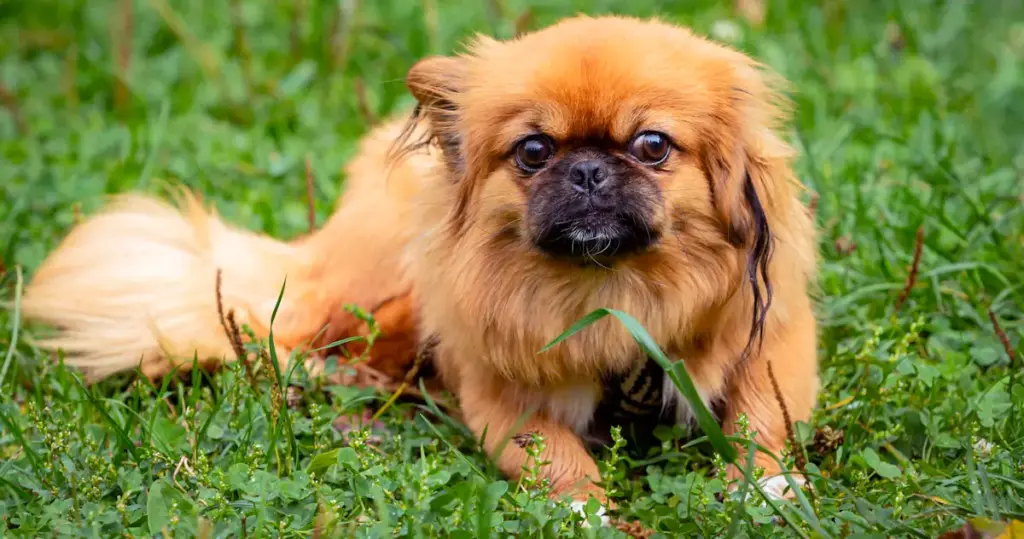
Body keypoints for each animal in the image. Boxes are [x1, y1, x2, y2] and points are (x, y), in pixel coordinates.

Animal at [22, 13, 815, 516]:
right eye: (534, 151)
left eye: (652, 146)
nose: (589, 170)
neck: (612, 291)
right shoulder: (502, 398)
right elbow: (558, 456)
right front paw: (587, 509)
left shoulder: (772, 346)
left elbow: (762, 419)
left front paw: (770, 487)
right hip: (381, 297)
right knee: (288, 334)